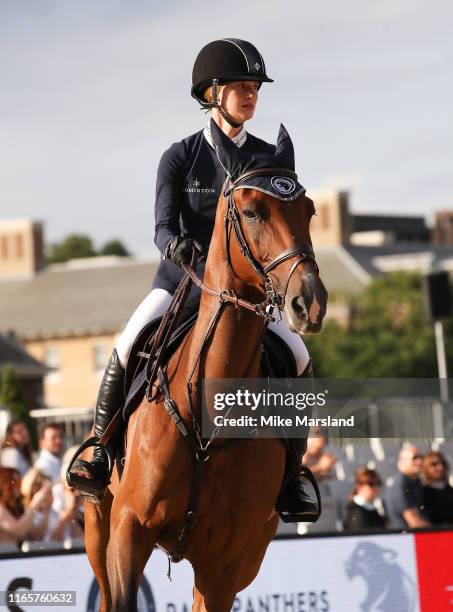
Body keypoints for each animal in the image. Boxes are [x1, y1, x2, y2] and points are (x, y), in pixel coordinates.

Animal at [83, 120, 326, 612]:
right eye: (251, 212)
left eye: (309, 210)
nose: (309, 303)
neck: (206, 416)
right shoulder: (128, 529)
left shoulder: (224, 566)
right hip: (97, 523)